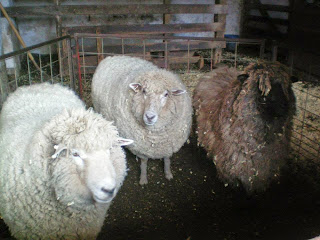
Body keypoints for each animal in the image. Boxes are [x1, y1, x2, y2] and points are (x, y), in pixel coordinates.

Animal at [91, 55, 191, 185]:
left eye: (166, 94)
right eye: (144, 91)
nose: (149, 117)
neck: (156, 136)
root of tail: (109, 57)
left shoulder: (169, 144)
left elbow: (167, 158)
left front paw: (168, 173)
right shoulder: (140, 146)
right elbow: (144, 161)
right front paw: (143, 178)